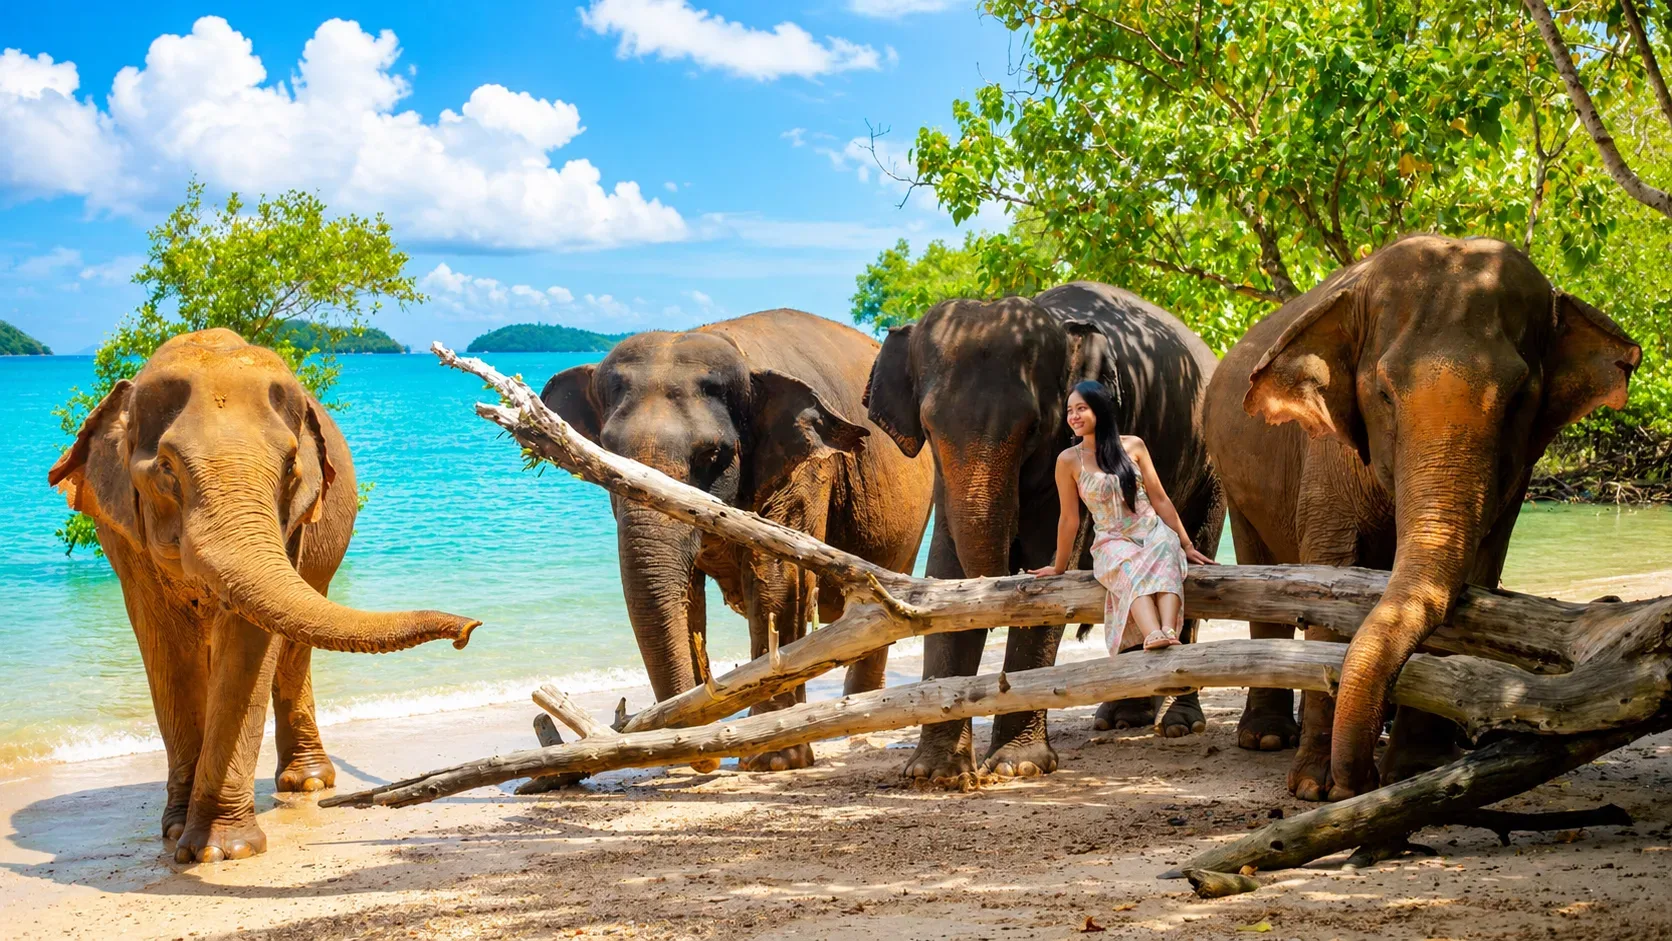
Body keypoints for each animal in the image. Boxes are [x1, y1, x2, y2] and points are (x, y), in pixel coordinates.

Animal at [47, 329, 480, 863]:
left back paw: (307, 785)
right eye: (166, 467)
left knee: (293, 650)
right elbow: (165, 650)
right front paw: (179, 833)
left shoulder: (293, 523)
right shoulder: (122, 534)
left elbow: (248, 647)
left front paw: (219, 851)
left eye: (292, 465)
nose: (468, 630)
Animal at [542, 309, 934, 772]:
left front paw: (774, 759)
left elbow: (777, 581)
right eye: (604, 451)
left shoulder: (804, 472)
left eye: (712, 455)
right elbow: (687, 595)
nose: (700, 747)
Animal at [863, 281, 1225, 784]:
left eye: (1032, 427)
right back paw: (1121, 718)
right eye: (930, 429)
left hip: (1210, 475)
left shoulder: (1061, 461)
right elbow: (945, 571)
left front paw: (1018, 767)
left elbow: (1053, 564)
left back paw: (1177, 724)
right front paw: (935, 775)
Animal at [1205, 234, 1641, 801]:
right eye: (1384, 394)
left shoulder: (1515, 479)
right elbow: (1330, 575)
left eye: (1519, 398)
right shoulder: (1326, 454)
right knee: (1263, 584)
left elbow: (1479, 572)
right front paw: (1317, 788)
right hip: (1237, 488)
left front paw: (1415, 770)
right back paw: (1266, 740)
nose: (1356, 780)